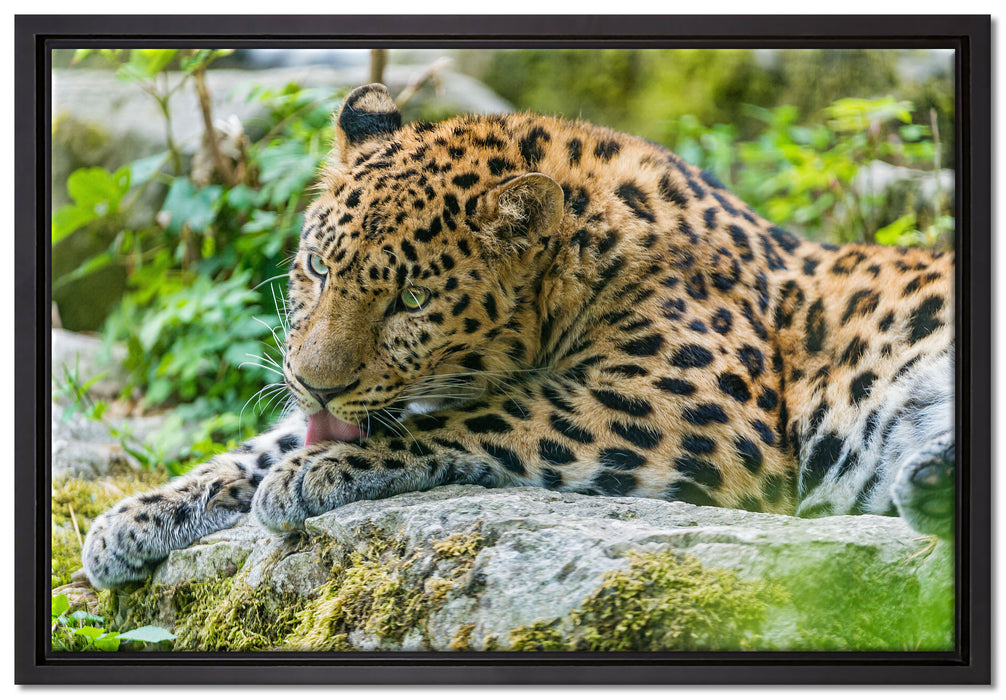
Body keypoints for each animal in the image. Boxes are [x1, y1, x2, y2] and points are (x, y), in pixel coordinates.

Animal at [82, 84, 955, 589]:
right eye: (319, 266)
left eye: (411, 298)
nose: (317, 383)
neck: (592, 259)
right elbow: (261, 445)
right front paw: (137, 516)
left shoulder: (697, 410)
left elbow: (493, 416)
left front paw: (315, 473)